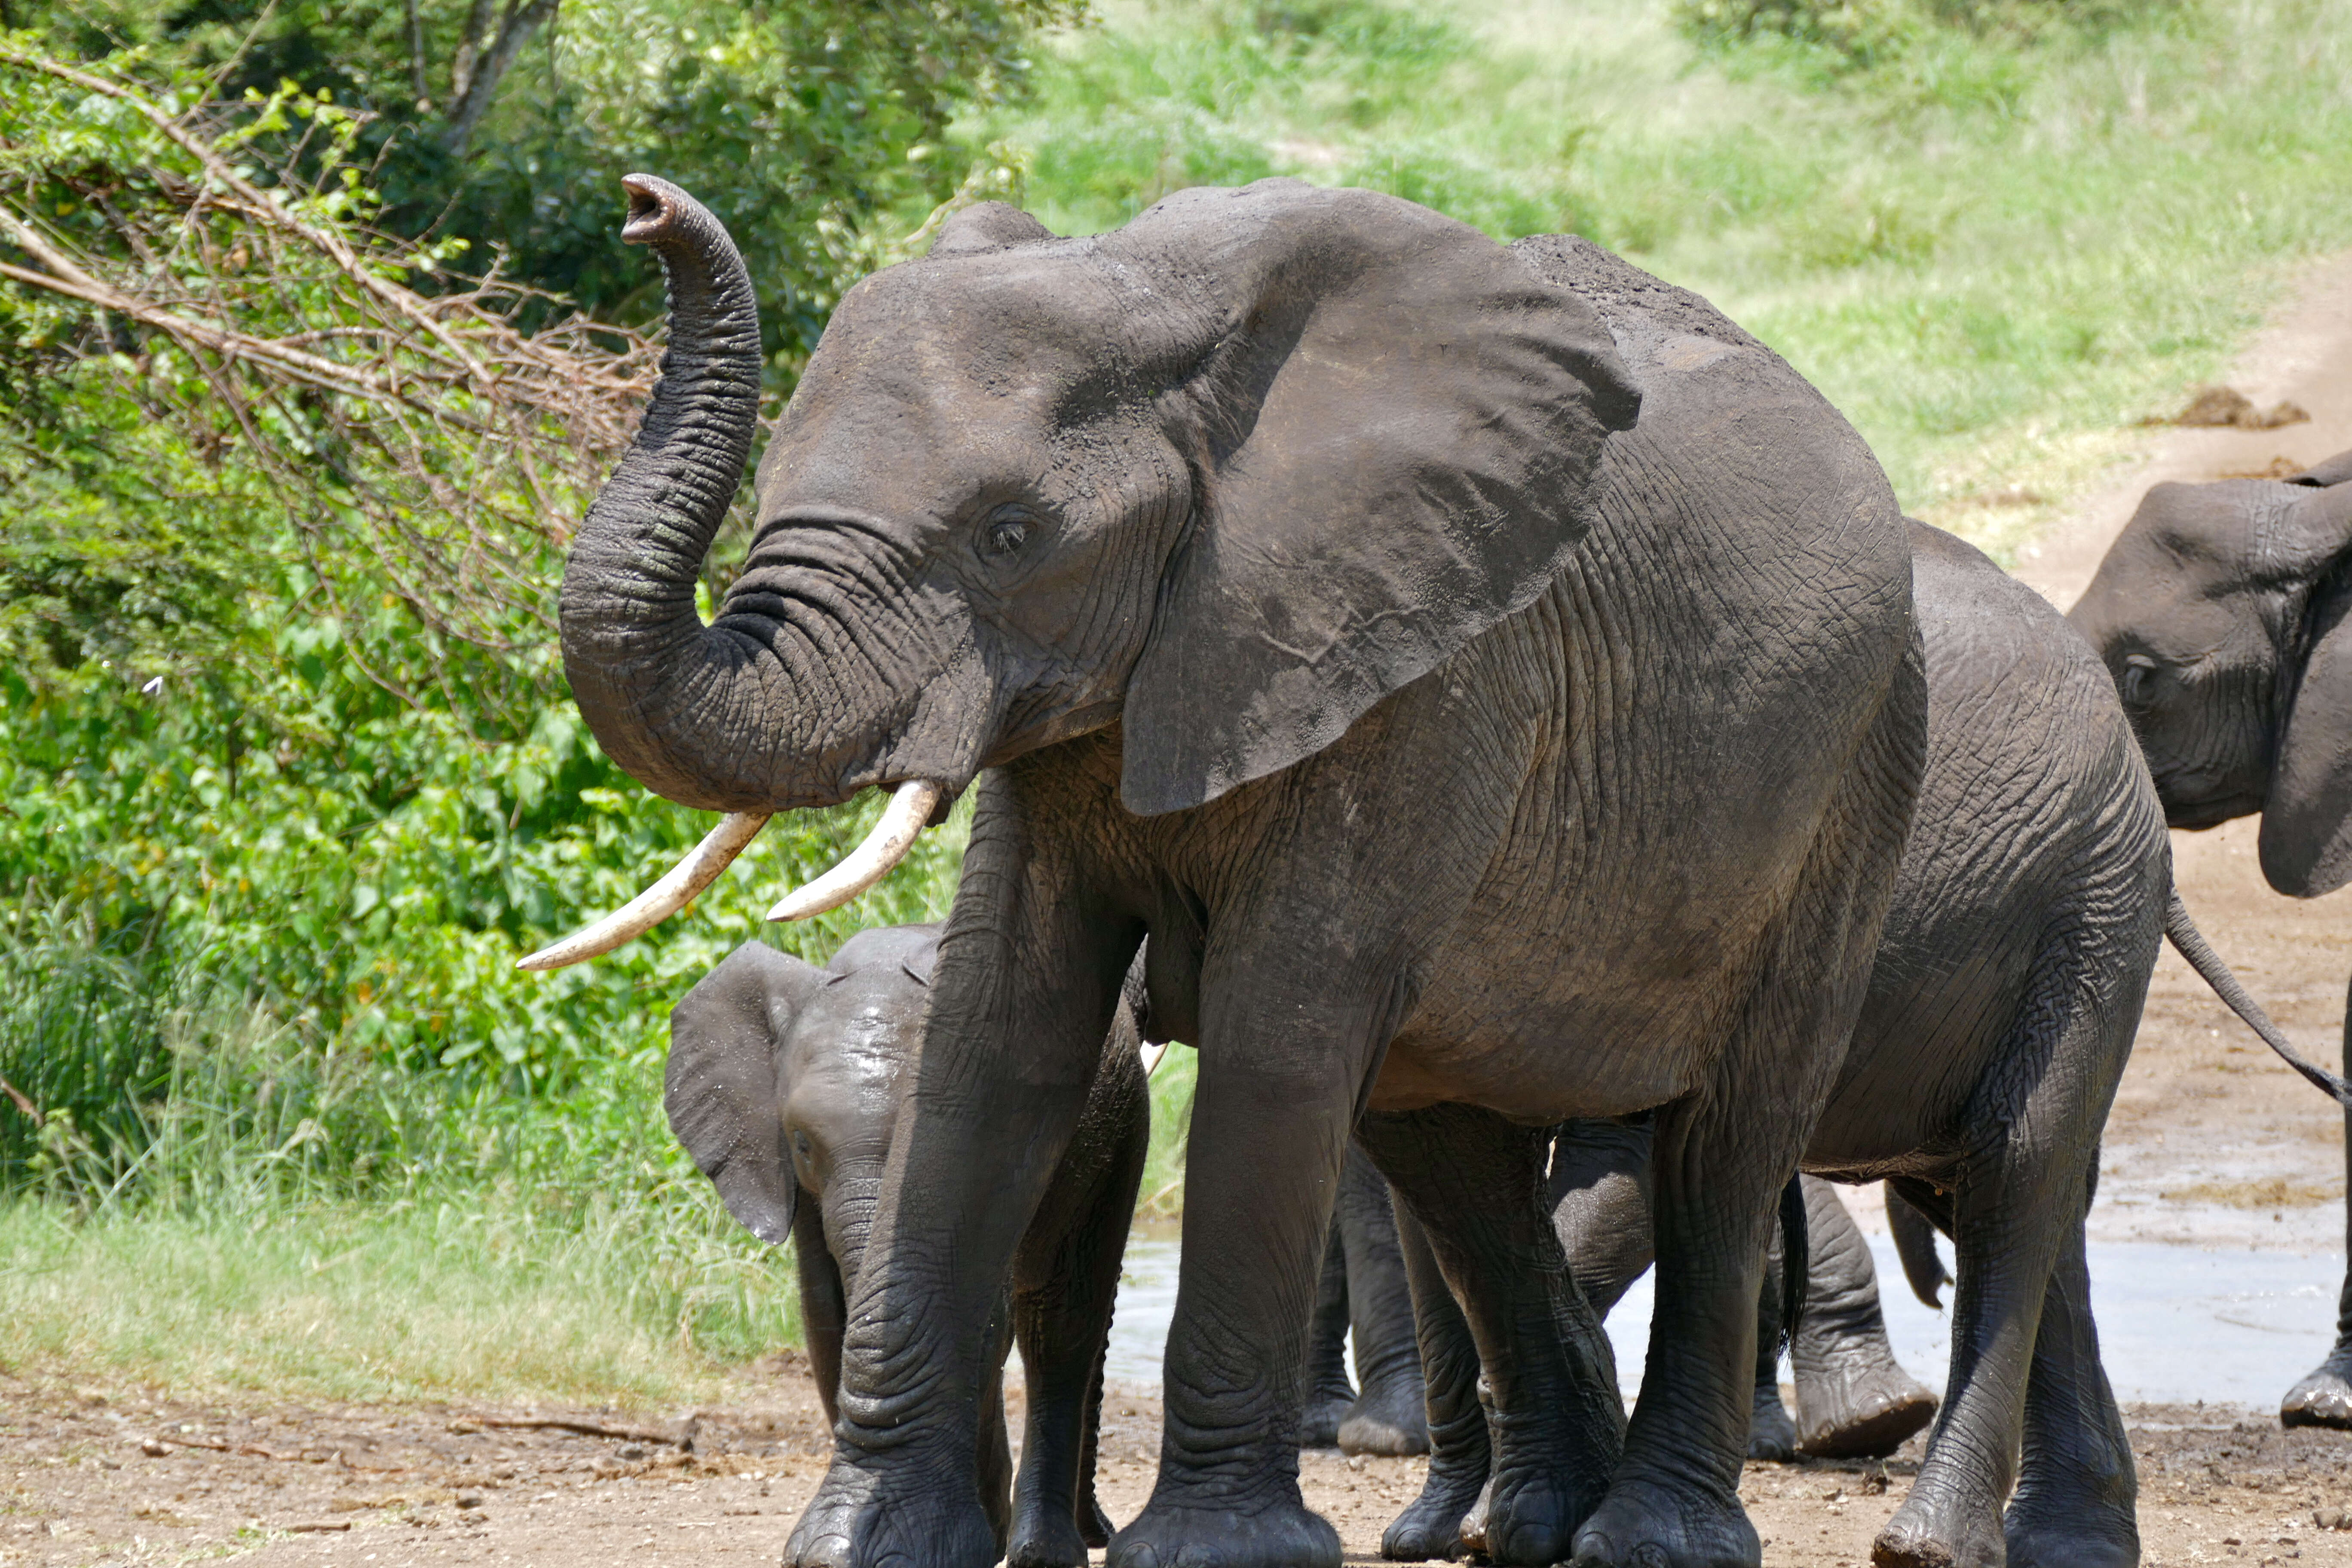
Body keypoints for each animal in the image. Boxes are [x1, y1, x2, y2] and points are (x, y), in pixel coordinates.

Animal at [663, 921, 1148, 1568]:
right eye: (802, 1144)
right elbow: (825, 1314)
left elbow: (981, 1319)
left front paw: (965, 1539)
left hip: (1122, 1121)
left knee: (1060, 1321)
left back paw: (1039, 1550)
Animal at [1383, 524, 2324, 1568]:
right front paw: (1452, 1527)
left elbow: (1614, 1178)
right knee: (2006, 1197)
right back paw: (2068, 1545)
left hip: (2087, 905)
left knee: (2016, 1171)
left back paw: (1928, 1542)